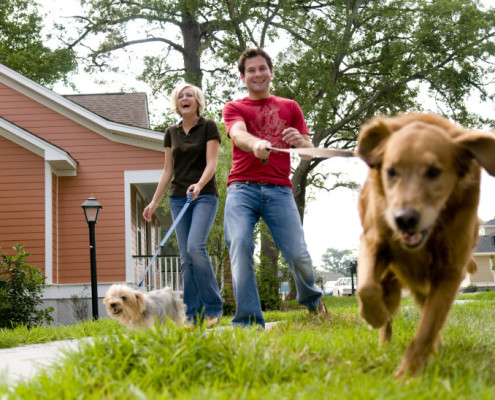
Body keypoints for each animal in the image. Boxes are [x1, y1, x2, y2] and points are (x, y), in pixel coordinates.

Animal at [354, 113, 495, 378]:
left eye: (434, 172)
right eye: (391, 171)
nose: (404, 219)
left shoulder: (450, 270)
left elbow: (428, 326)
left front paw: (408, 375)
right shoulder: (374, 240)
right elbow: (365, 287)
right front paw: (375, 316)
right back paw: (384, 341)